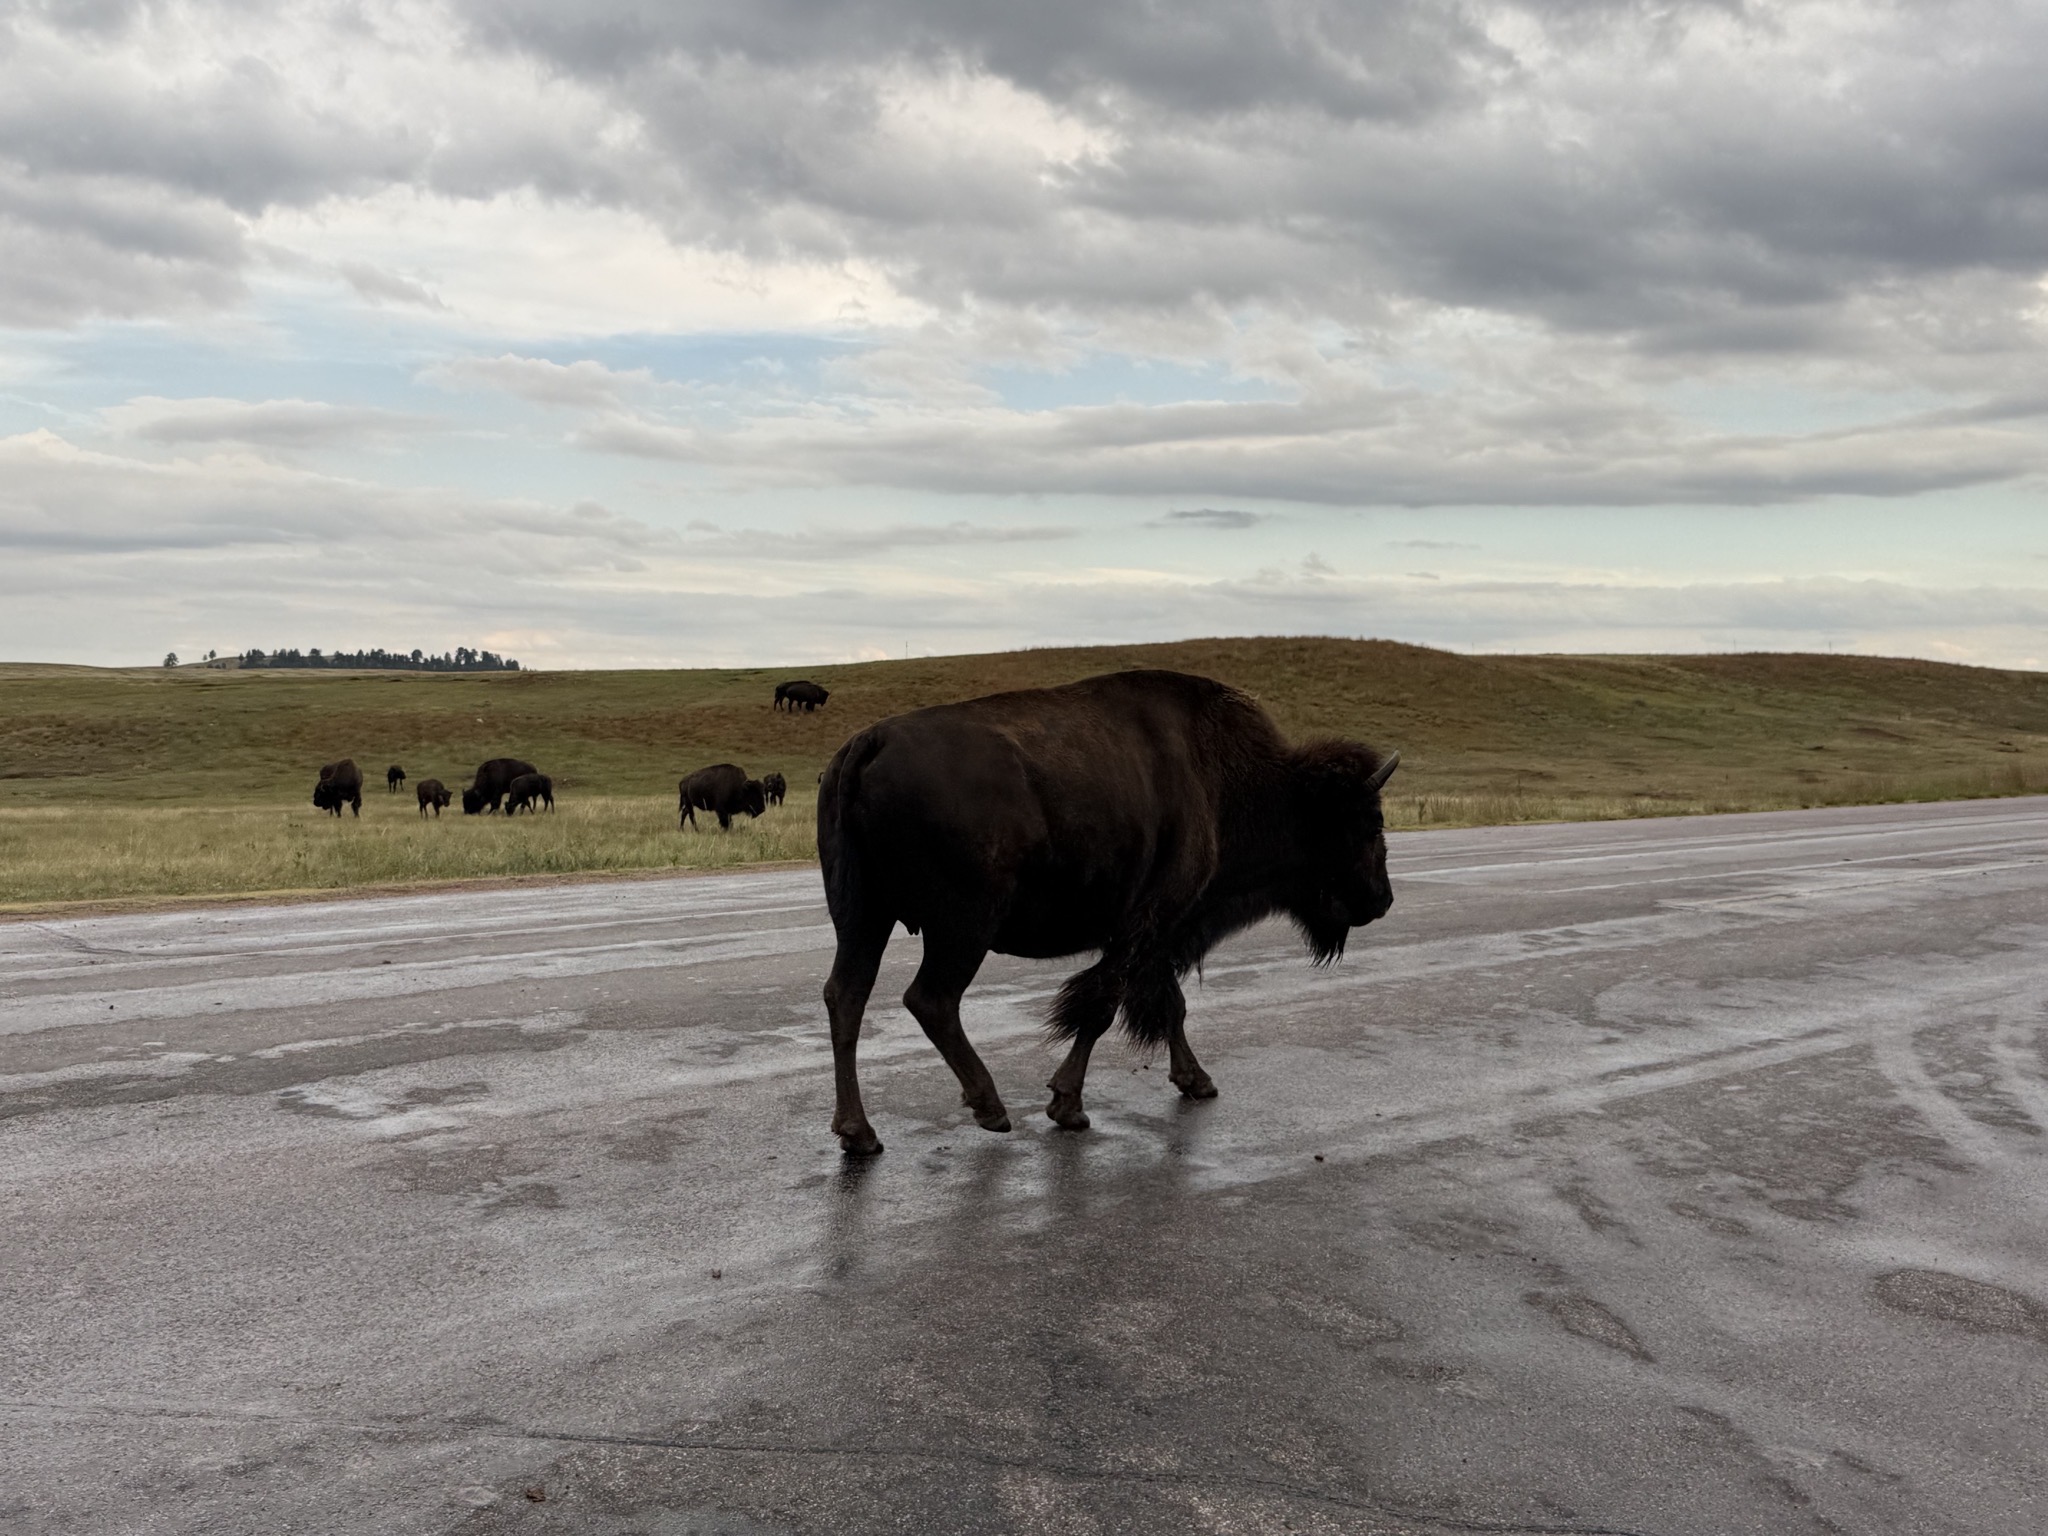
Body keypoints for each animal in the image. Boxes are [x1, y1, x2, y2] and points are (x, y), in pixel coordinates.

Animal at [817, 669, 1398, 1155]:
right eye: (1368, 825)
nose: (1383, 899)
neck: (1227, 780)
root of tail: (869, 741)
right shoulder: (1150, 924)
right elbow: (1102, 1007)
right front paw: (1067, 1106)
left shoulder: (1157, 934)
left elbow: (1169, 1005)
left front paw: (1197, 1082)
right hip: (962, 926)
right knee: (931, 1000)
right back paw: (991, 1109)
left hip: (862, 918)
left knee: (846, 997)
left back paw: (859, 1134)